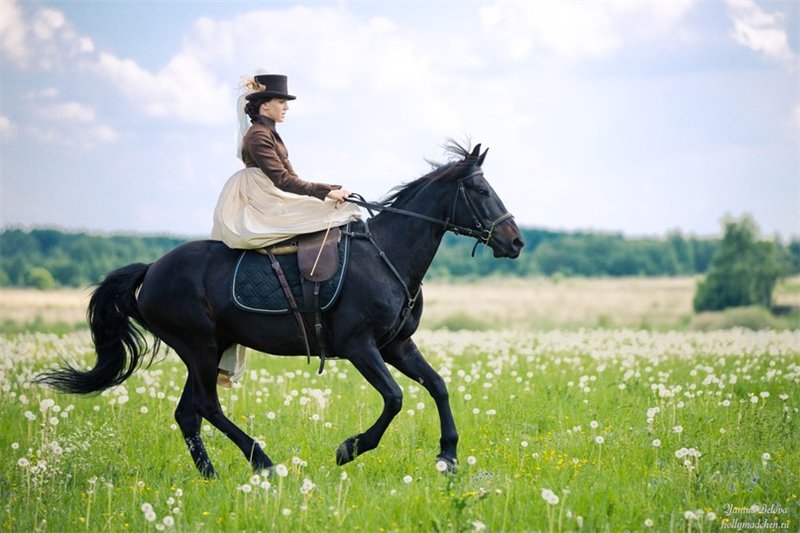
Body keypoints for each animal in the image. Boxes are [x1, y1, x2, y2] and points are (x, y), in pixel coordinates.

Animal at [37, 142, 524, 478]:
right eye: (480, 189)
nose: (515, 241)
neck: (387, 254)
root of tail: (152, 269)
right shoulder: (360, 346)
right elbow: (395, 398)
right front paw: (349, 448)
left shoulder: (397, 345)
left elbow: (438, 386)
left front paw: (448, 456)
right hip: (199, 347)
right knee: (207, 407)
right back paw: (263, 463)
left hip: (209, 349)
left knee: (188, 413)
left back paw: (212, 475)